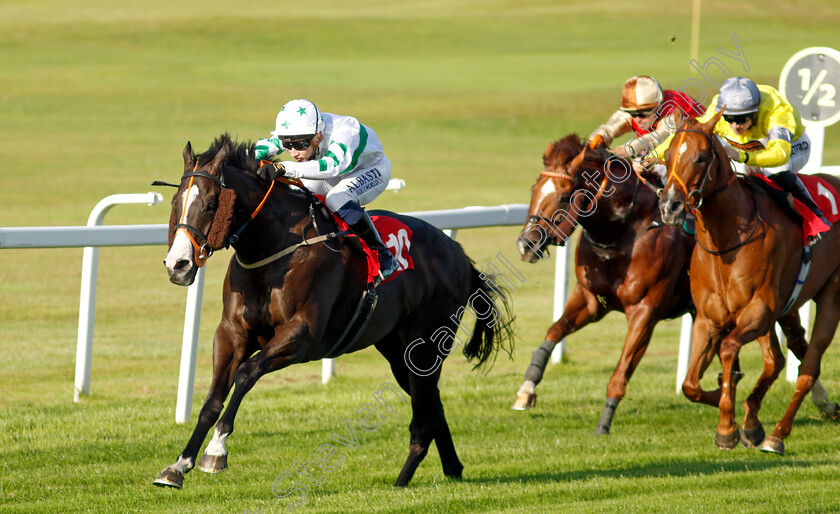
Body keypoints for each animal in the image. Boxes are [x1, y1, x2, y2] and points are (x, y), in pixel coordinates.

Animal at [154, 134, 516, 486]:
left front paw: (216, 451)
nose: (177, 265)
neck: (274, 249)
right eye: (175, 204)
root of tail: (458, 253)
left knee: (424, 412)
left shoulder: (302, 337)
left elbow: (246, 374)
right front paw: (178, 466)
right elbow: (212, 399)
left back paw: (404, 479)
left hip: (427, 344)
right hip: (398, 350)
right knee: (431, 403)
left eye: (210, 204)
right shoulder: (232, 333)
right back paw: (451, 467)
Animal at [512, 133, 696, 432]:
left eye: (563, 196)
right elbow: (552, 334)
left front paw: (603, 424)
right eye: (533, 190)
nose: (525, 245)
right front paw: (526, 390)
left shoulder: (645, 313)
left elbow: (621, 373)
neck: (623, 232)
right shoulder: (590, 299)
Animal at [656, 113, 840, 452]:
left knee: (808, 367)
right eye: (668, 154)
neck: (726, 241)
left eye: (701, 157)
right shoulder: (708, 319)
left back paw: (778, 434)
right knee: (785, 355)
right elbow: (690, 385)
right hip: (788, 307)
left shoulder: (759, 311)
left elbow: (730, 349)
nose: (669, 207)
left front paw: (727, 426)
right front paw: (731, 407)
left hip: (830, 297)